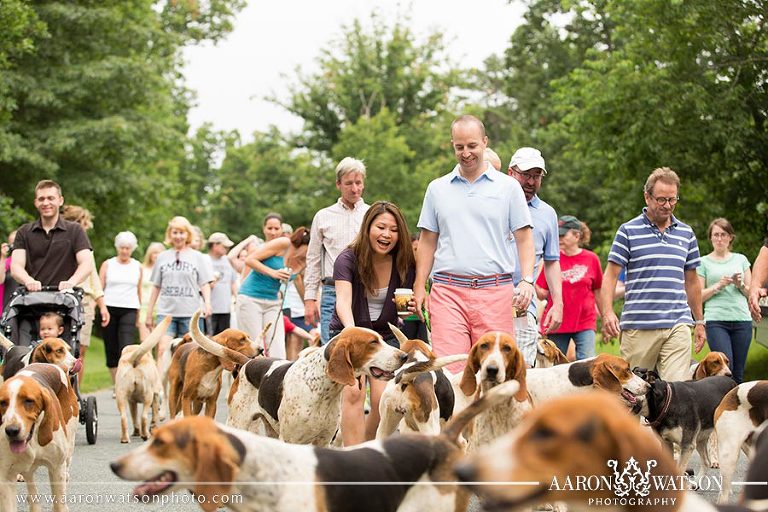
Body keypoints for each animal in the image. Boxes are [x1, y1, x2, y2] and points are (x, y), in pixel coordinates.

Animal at [0, 362, 79, 510]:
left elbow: (59, 505)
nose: (11, 430)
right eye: (3, 403)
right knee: (31, 487)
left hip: (69, 442)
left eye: (28, 401)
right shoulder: (6, 478)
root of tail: (57, 366)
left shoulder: (56, 467)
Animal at [190, 312, 408, 444]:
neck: (322, 389)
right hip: (238, 422)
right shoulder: (291, 439)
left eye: (382, 339)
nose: (404, 356)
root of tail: (247, 363)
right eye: (373, 343)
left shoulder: (323, 440)